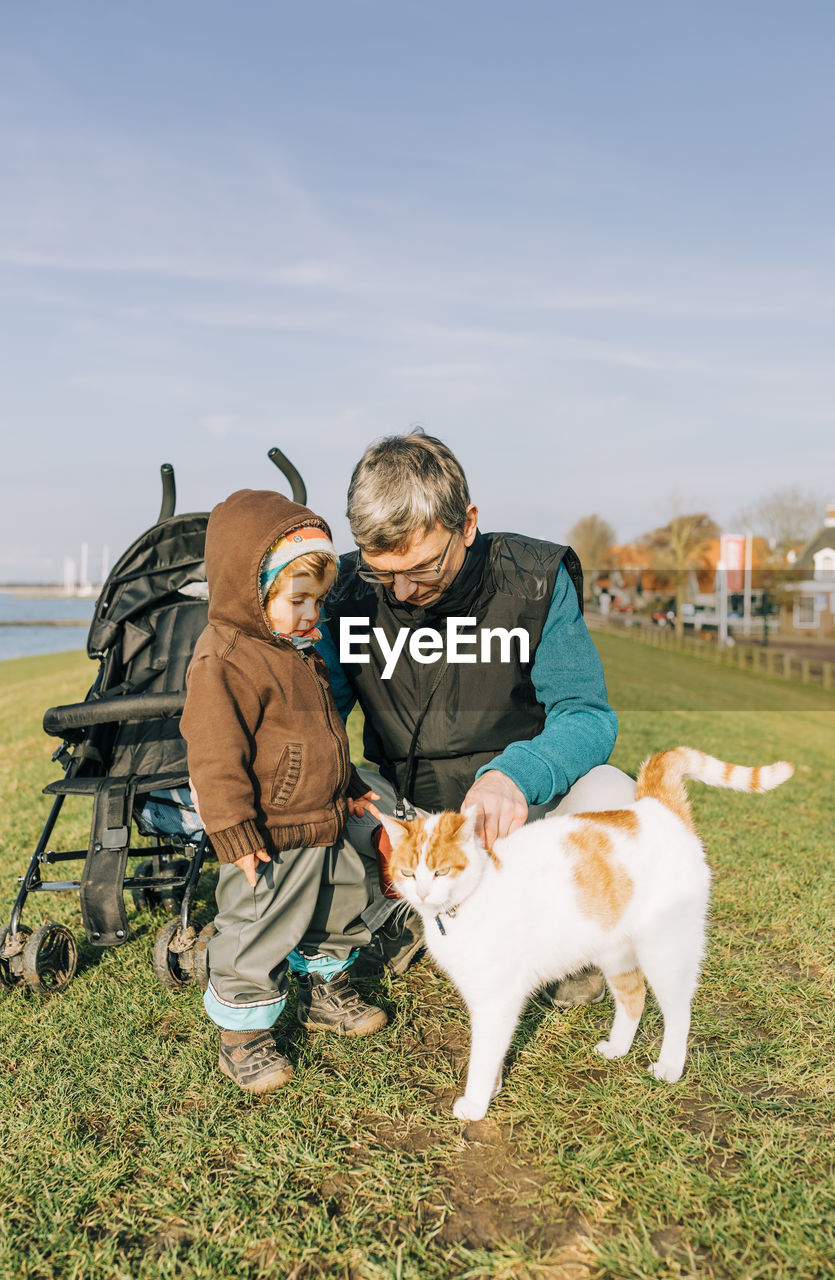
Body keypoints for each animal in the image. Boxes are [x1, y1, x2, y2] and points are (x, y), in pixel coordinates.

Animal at [381, 747, 794, 1121]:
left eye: (440, 871)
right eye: (407, 873)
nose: (422, 893)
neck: (465, 904)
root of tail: (653, 806)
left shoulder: (497, 999)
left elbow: (483, 1056)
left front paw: (476, 1103)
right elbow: (493, 1053)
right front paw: (493, 1088)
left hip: (666, 949)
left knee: (679, 1011)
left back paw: (670, 1067)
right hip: (615, 951)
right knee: (634, 997)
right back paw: (618, 1048)